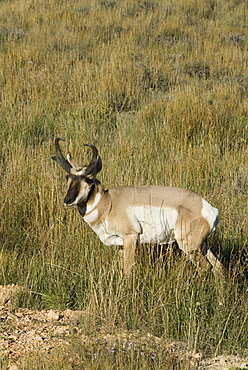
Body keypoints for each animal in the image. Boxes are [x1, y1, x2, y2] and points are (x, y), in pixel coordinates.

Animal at [51, 138, 222, 274]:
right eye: (67, 177)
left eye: (89, 179)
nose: (67, 200)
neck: (108, 203)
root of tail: (209, 209)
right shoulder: (120, 244)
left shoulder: (130, 238)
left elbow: (127, 269)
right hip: (203, 245)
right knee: (217, 265)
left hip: (189, 246)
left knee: (205, 267)